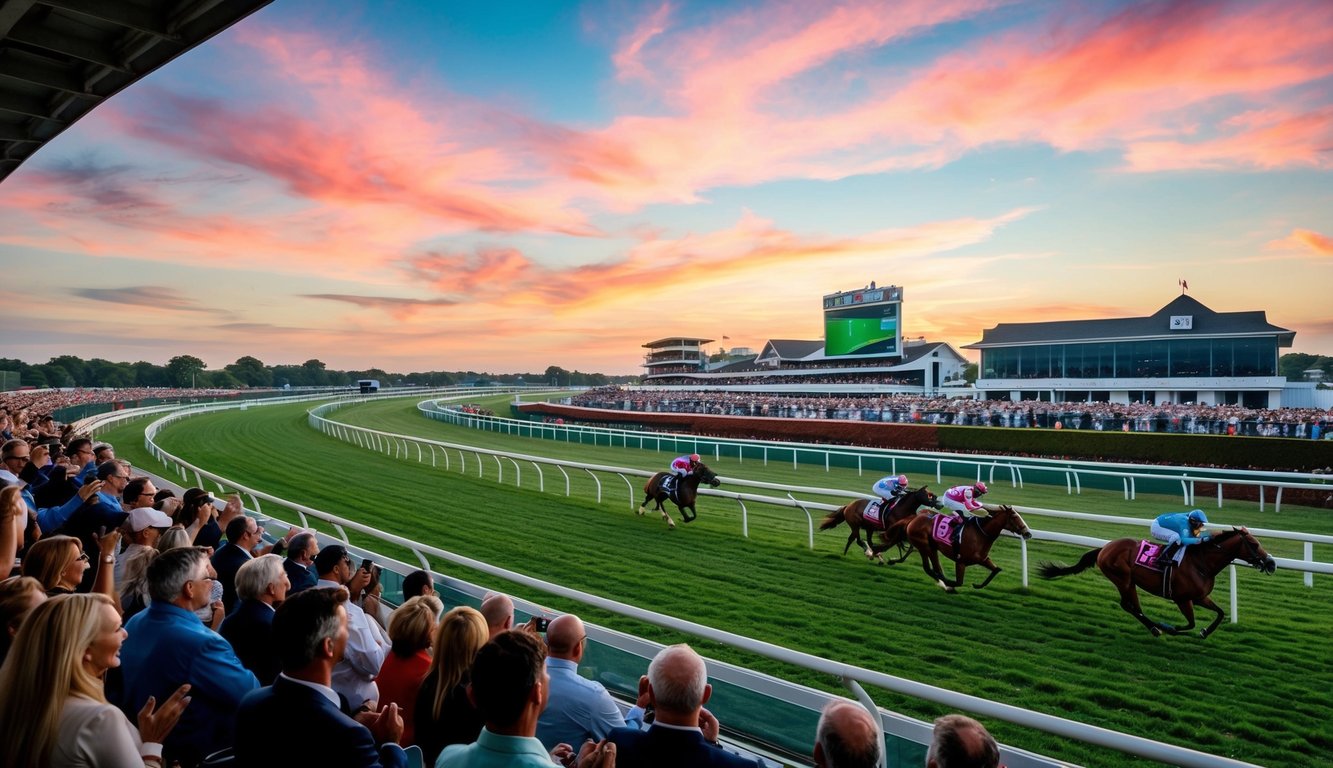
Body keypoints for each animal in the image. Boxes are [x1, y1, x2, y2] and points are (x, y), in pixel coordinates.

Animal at [815, 485, 943, 565]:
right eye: (928, 495)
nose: (940, 504)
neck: (903, 509)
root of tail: (849, 505)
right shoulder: (892, 531)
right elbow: (896, 544)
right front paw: (890, 558)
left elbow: (908, 547)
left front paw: (894, 559)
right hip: (855, 524)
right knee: (857, 539)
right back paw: (867, 553)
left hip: (869, 528)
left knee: (863, 540)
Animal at [895, 506, 1029, 592]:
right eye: (1014, 517)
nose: (1027, 533)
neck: (980, 534)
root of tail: (915, 518)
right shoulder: (960, 562)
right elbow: (959, 582)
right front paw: (948, 584)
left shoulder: (983, 559)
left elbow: (996, 569)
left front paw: (977, 585)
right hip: (925, 546)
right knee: (932, 568)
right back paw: (945, 584)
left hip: (930, 547)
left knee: (931, 567)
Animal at [1034, 525, 1274, 640]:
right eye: (1254, 544)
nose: (1271, 563)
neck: (1202, 563)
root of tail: (1105, 548)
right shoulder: (1182, 598)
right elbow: (1190, 623)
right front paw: (1168, 627)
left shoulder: (1200, 597)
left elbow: (1220, 613)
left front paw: (1205, 632)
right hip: (1122, 579)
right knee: (1127, 605)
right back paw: (1155, 628)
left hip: (1129, 582)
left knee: (1133, 606)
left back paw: (1153, 627)